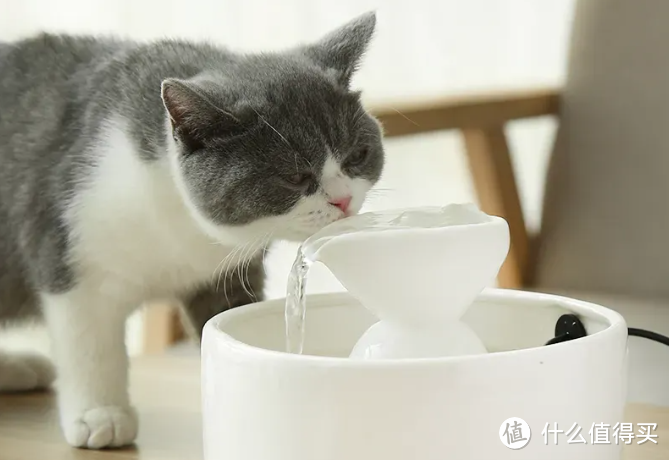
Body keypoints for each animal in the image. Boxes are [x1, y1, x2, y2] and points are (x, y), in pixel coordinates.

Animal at [0, 13, 384, 450]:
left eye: (358, 155)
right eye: (295, 176)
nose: (343, 200)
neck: (184, 230)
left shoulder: (227, 272)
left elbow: (223, 317)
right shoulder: (68, 247)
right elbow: (88, 340)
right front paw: (101, 413)